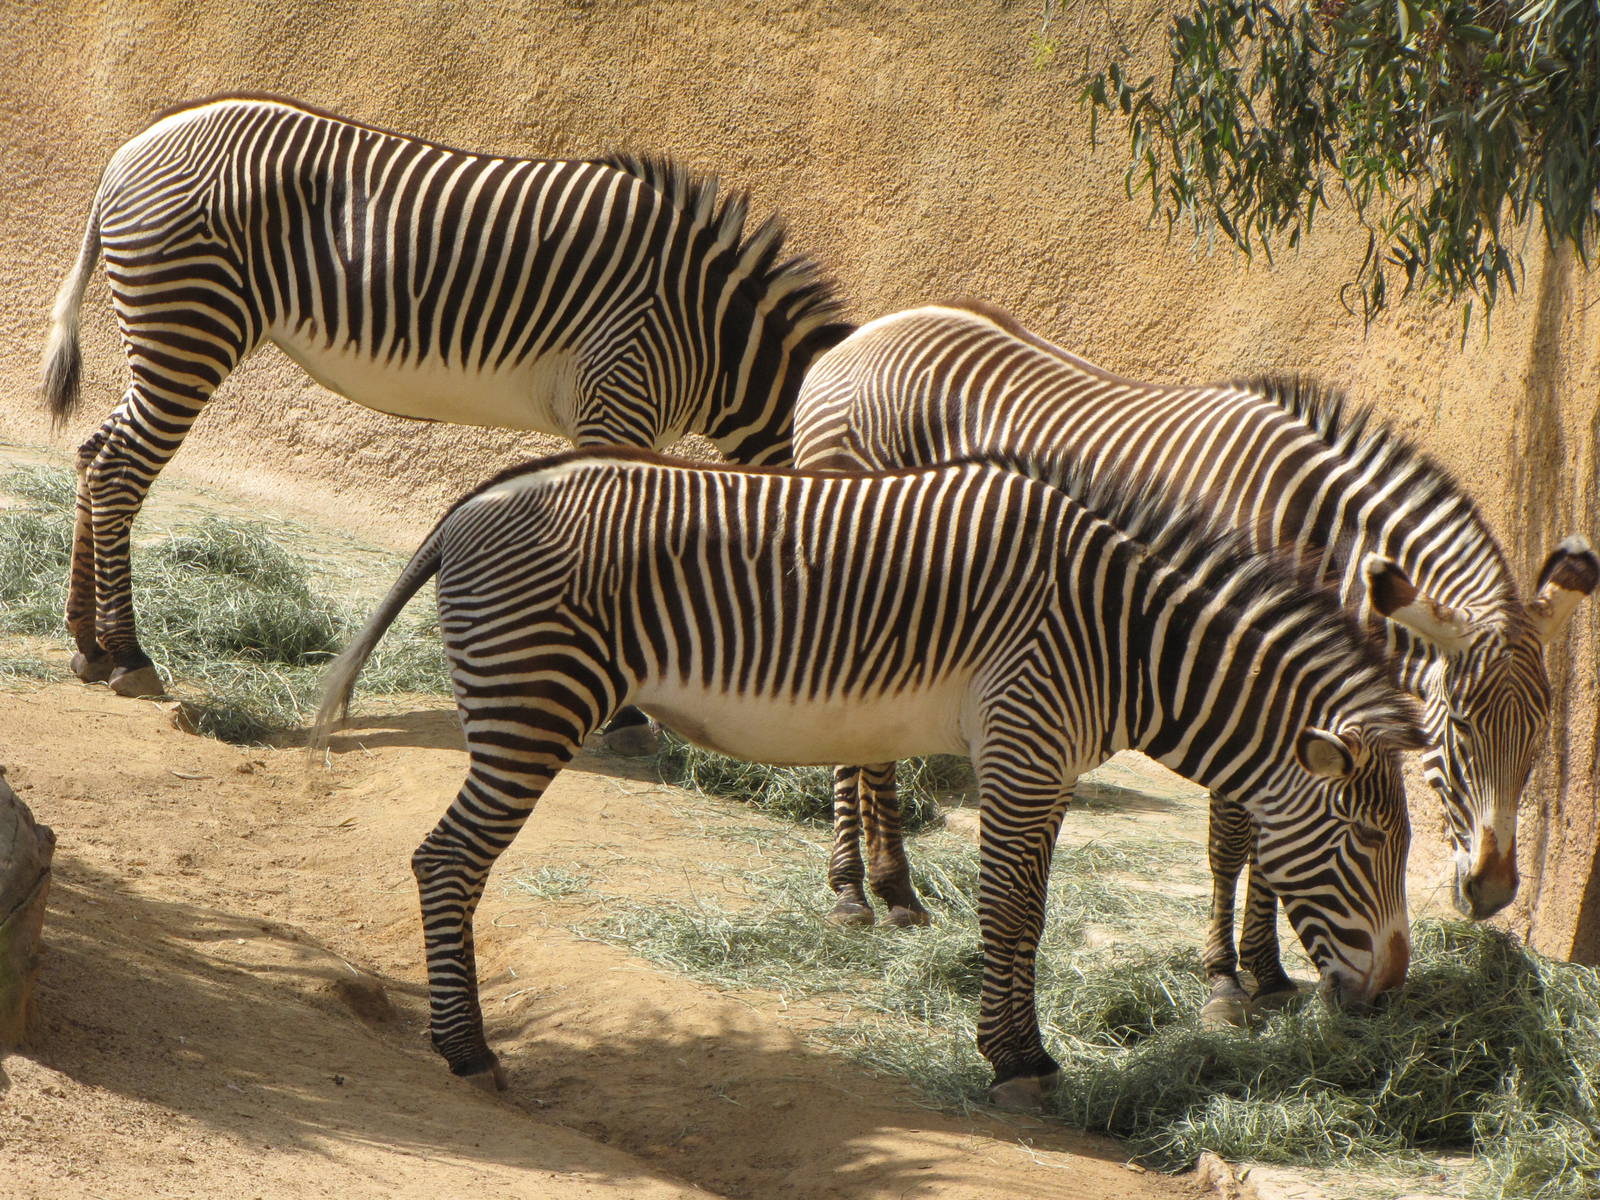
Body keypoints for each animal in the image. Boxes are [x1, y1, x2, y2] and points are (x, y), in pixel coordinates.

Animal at [39, 93, 850, 753]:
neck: (716, 334)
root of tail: (131, 149)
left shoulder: (616, 414)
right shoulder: (620, 391)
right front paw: (625, 720)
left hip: (168, 335)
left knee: (93, 453)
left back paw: (88, 645)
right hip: (191, 324)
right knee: (120, 470)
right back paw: (131, 655)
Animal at [313, 445, 1423, 1110]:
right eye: (1371, 841)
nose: (1388, 997)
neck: (1127, 634)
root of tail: (473, 501)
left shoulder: (1048, 761)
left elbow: (1031, 911)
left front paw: (1023, 1050)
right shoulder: (1022, 739)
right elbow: (1012, 912)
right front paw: (1014, 1061)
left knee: (446, 861)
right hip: (534, 703)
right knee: (446, 862)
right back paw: (467, 1051)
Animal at [791, 301, 1597, 1020]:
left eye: (1540, 734)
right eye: (1453, 728)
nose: (1494, 893)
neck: (1314, 531)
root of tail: (865, 333)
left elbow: (1274, 841)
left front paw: (1270, 974)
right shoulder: (1234, 659)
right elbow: (1234, 841)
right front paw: (1225, 982)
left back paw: (894, 890)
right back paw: (852, 894)